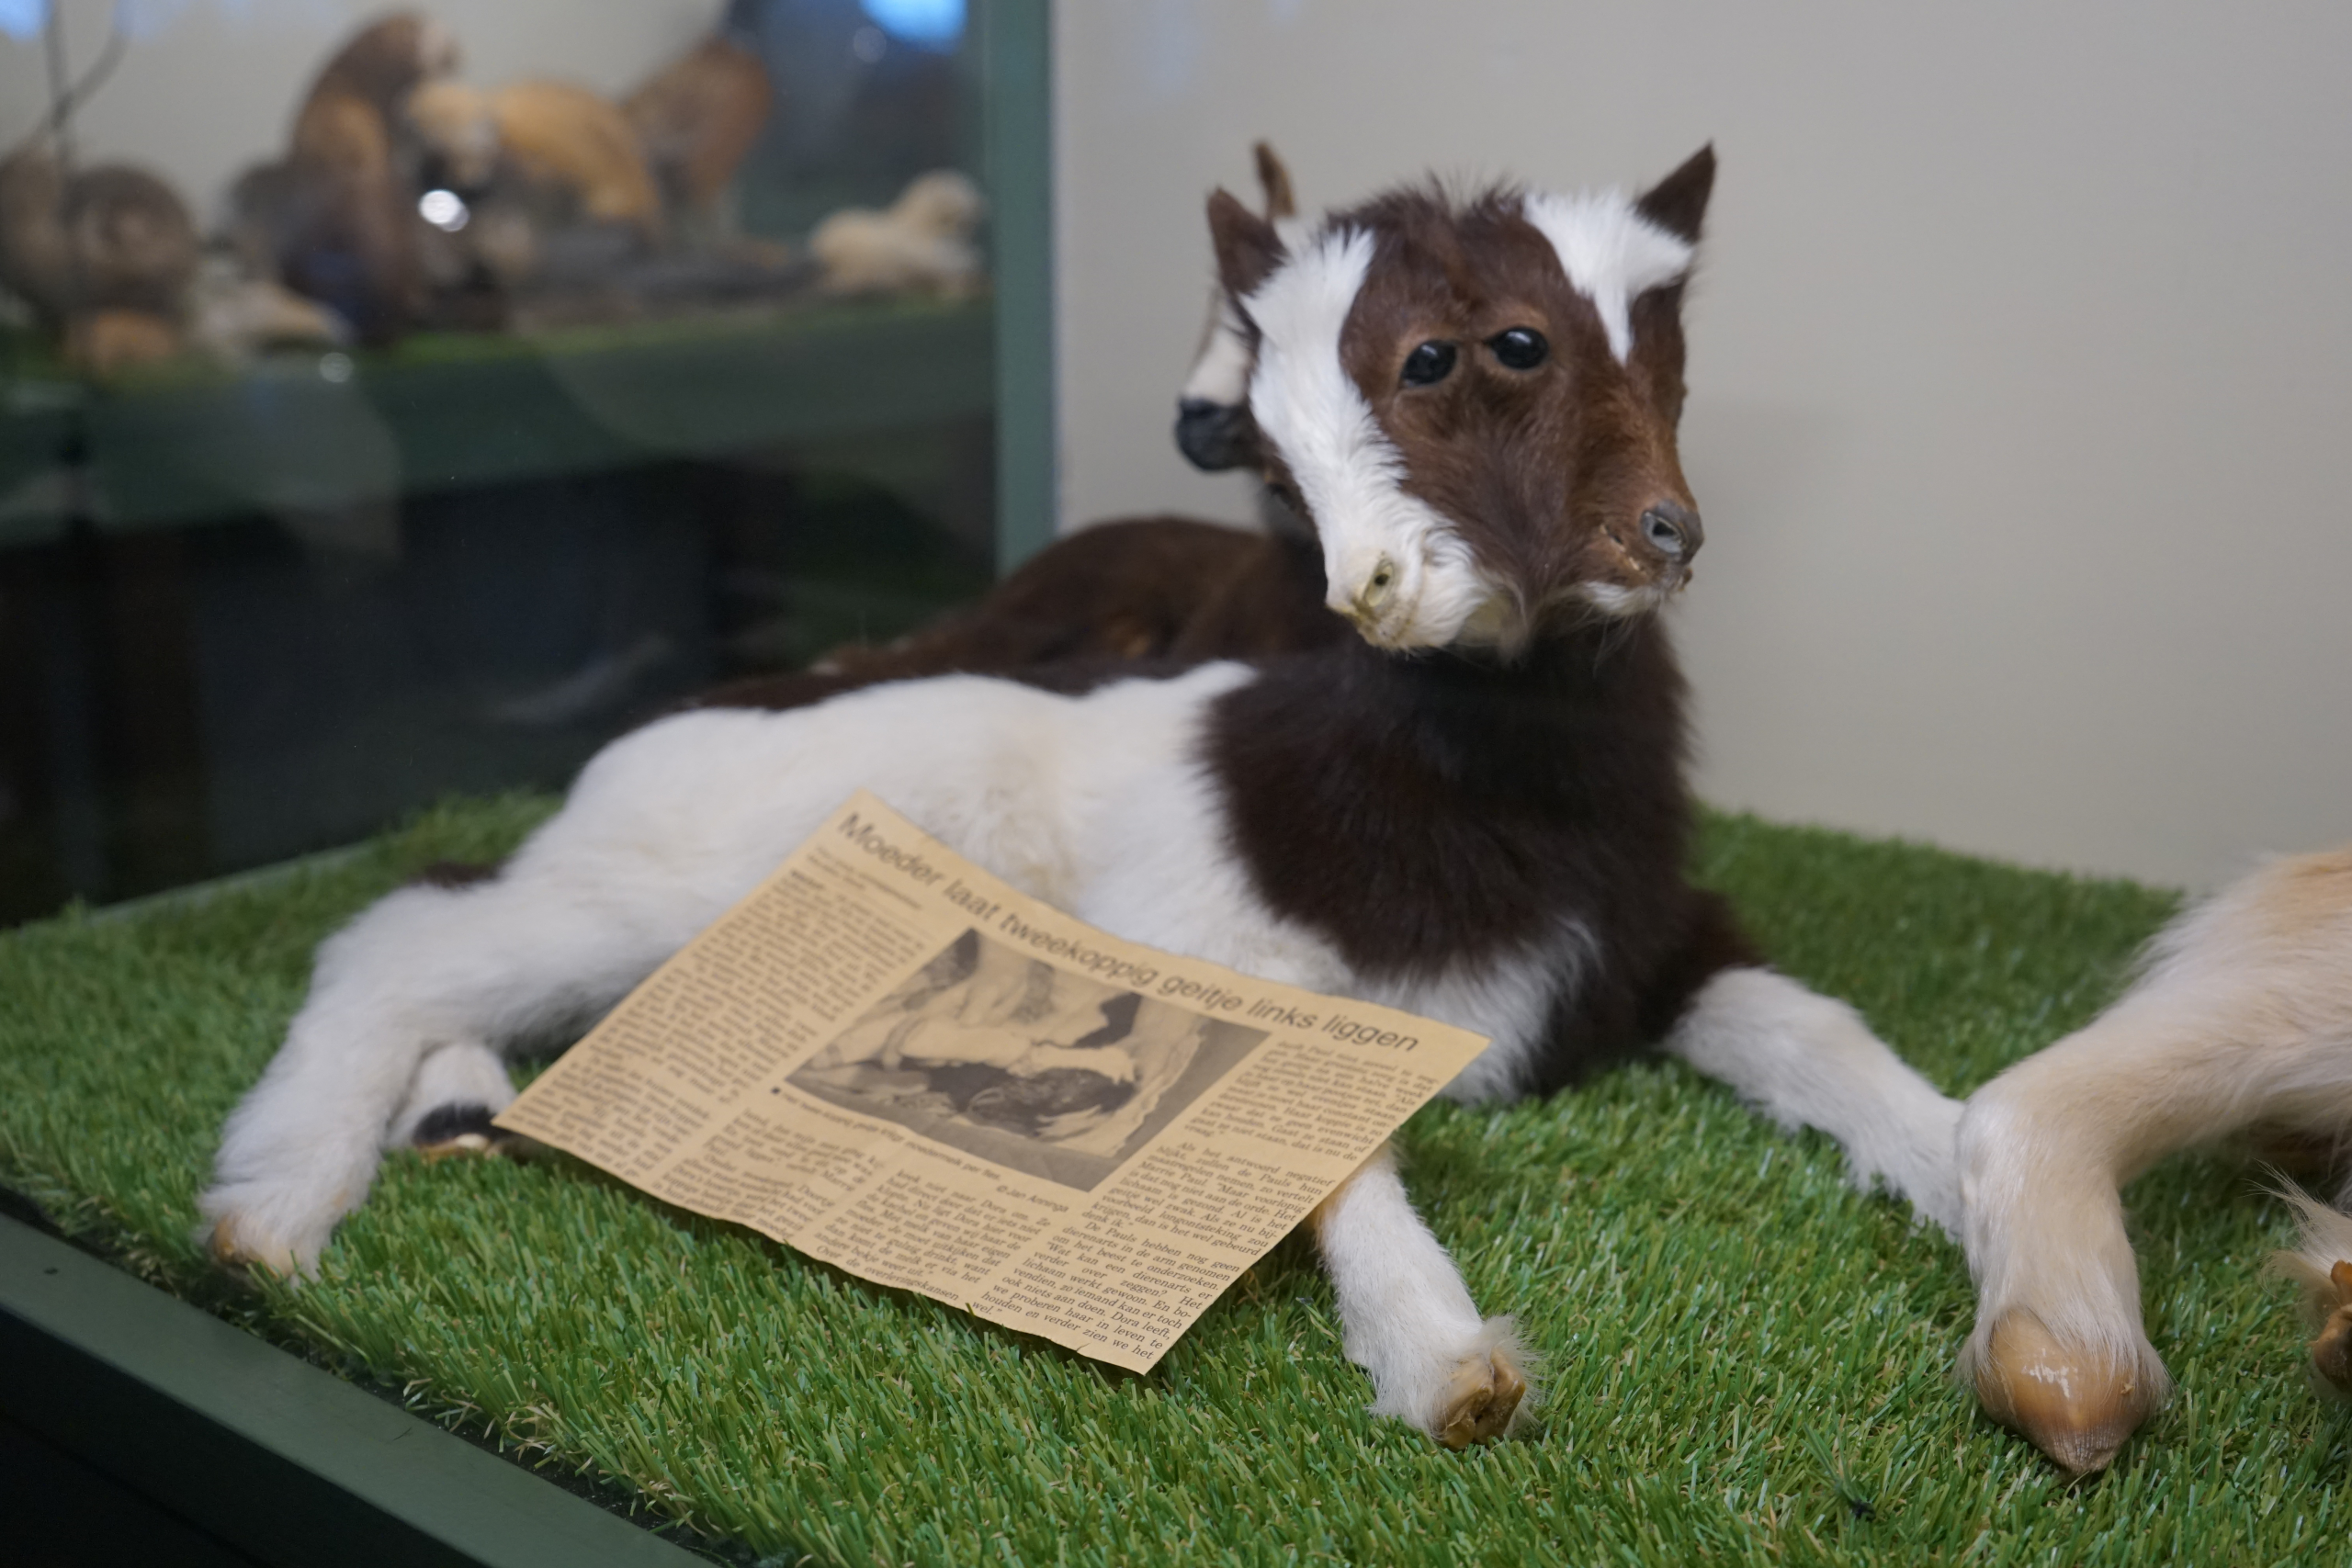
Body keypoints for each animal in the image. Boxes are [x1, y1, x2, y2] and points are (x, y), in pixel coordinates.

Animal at [207, 146, 1966, 1448]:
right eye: (1272, 437)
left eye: (1592, 336)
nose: (1662, 535)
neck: (1479, 786)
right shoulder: (1229, 953)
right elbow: (1322, 1151)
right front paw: (1451, 1363)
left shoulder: (1654, 935)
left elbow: (1822, 1029)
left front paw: (1983, 1187)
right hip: (678, 886)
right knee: (403, 929)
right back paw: (273, 1203)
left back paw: (450, 1113)